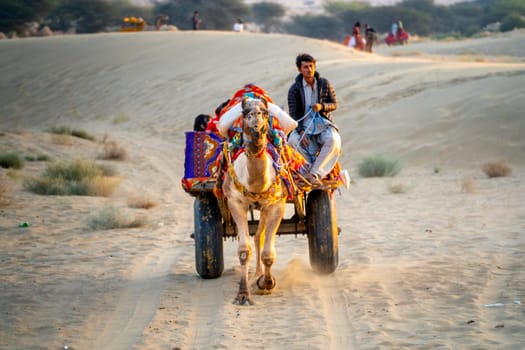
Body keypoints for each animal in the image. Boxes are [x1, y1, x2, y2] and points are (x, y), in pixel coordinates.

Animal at [221, 97, 286, 304]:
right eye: (245, 113)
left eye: (264, 112)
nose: (256, 121)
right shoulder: (235, 202)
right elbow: (244, 251)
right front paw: (243, 295)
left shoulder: (276, 204)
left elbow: (268, 254)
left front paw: (266, 283)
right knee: (257, 237)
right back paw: (256, 274)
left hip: (265, 208)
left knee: (259, 236)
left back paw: (259, 275)